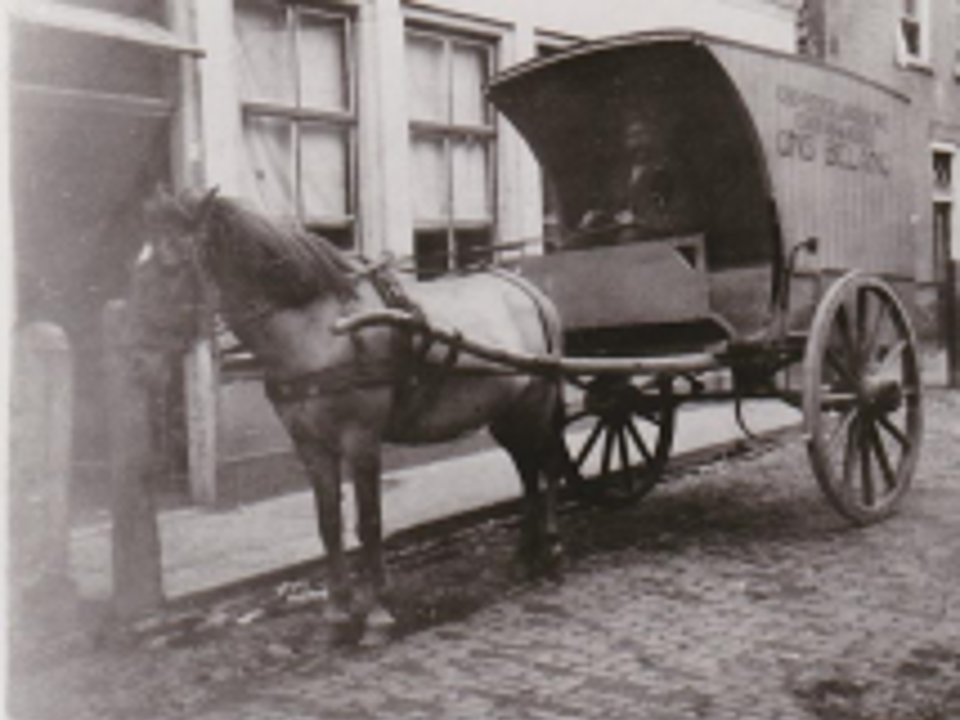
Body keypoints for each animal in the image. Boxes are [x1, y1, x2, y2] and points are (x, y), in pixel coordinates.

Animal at [127, 187, 567, 645]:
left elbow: (369, 521)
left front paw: (376, 613)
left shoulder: (361, 438)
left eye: (170, 266)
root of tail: (528, 291)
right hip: (508, 416)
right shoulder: (309, 444)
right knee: (527, 472)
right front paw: (337, 612)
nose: (135, 362)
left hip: (535, 407)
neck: (318, 330)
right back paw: (524, 555)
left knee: (547, 465)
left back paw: (552, 549)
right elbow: (329, 523)